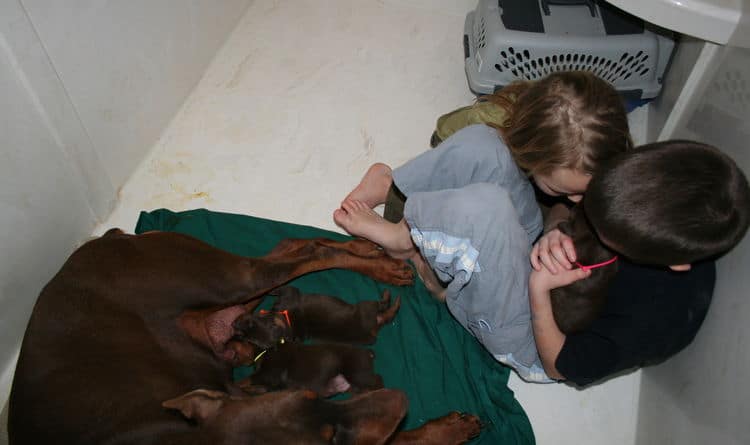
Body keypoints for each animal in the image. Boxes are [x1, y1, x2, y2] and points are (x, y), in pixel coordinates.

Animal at [7, 231, 482, 442]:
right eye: (326, 439)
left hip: (220, 279)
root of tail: (106, 237)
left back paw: (377, 262)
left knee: (306, 252)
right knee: (291, 246)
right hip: (230, 306)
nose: (400, 400)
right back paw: (367, 248)